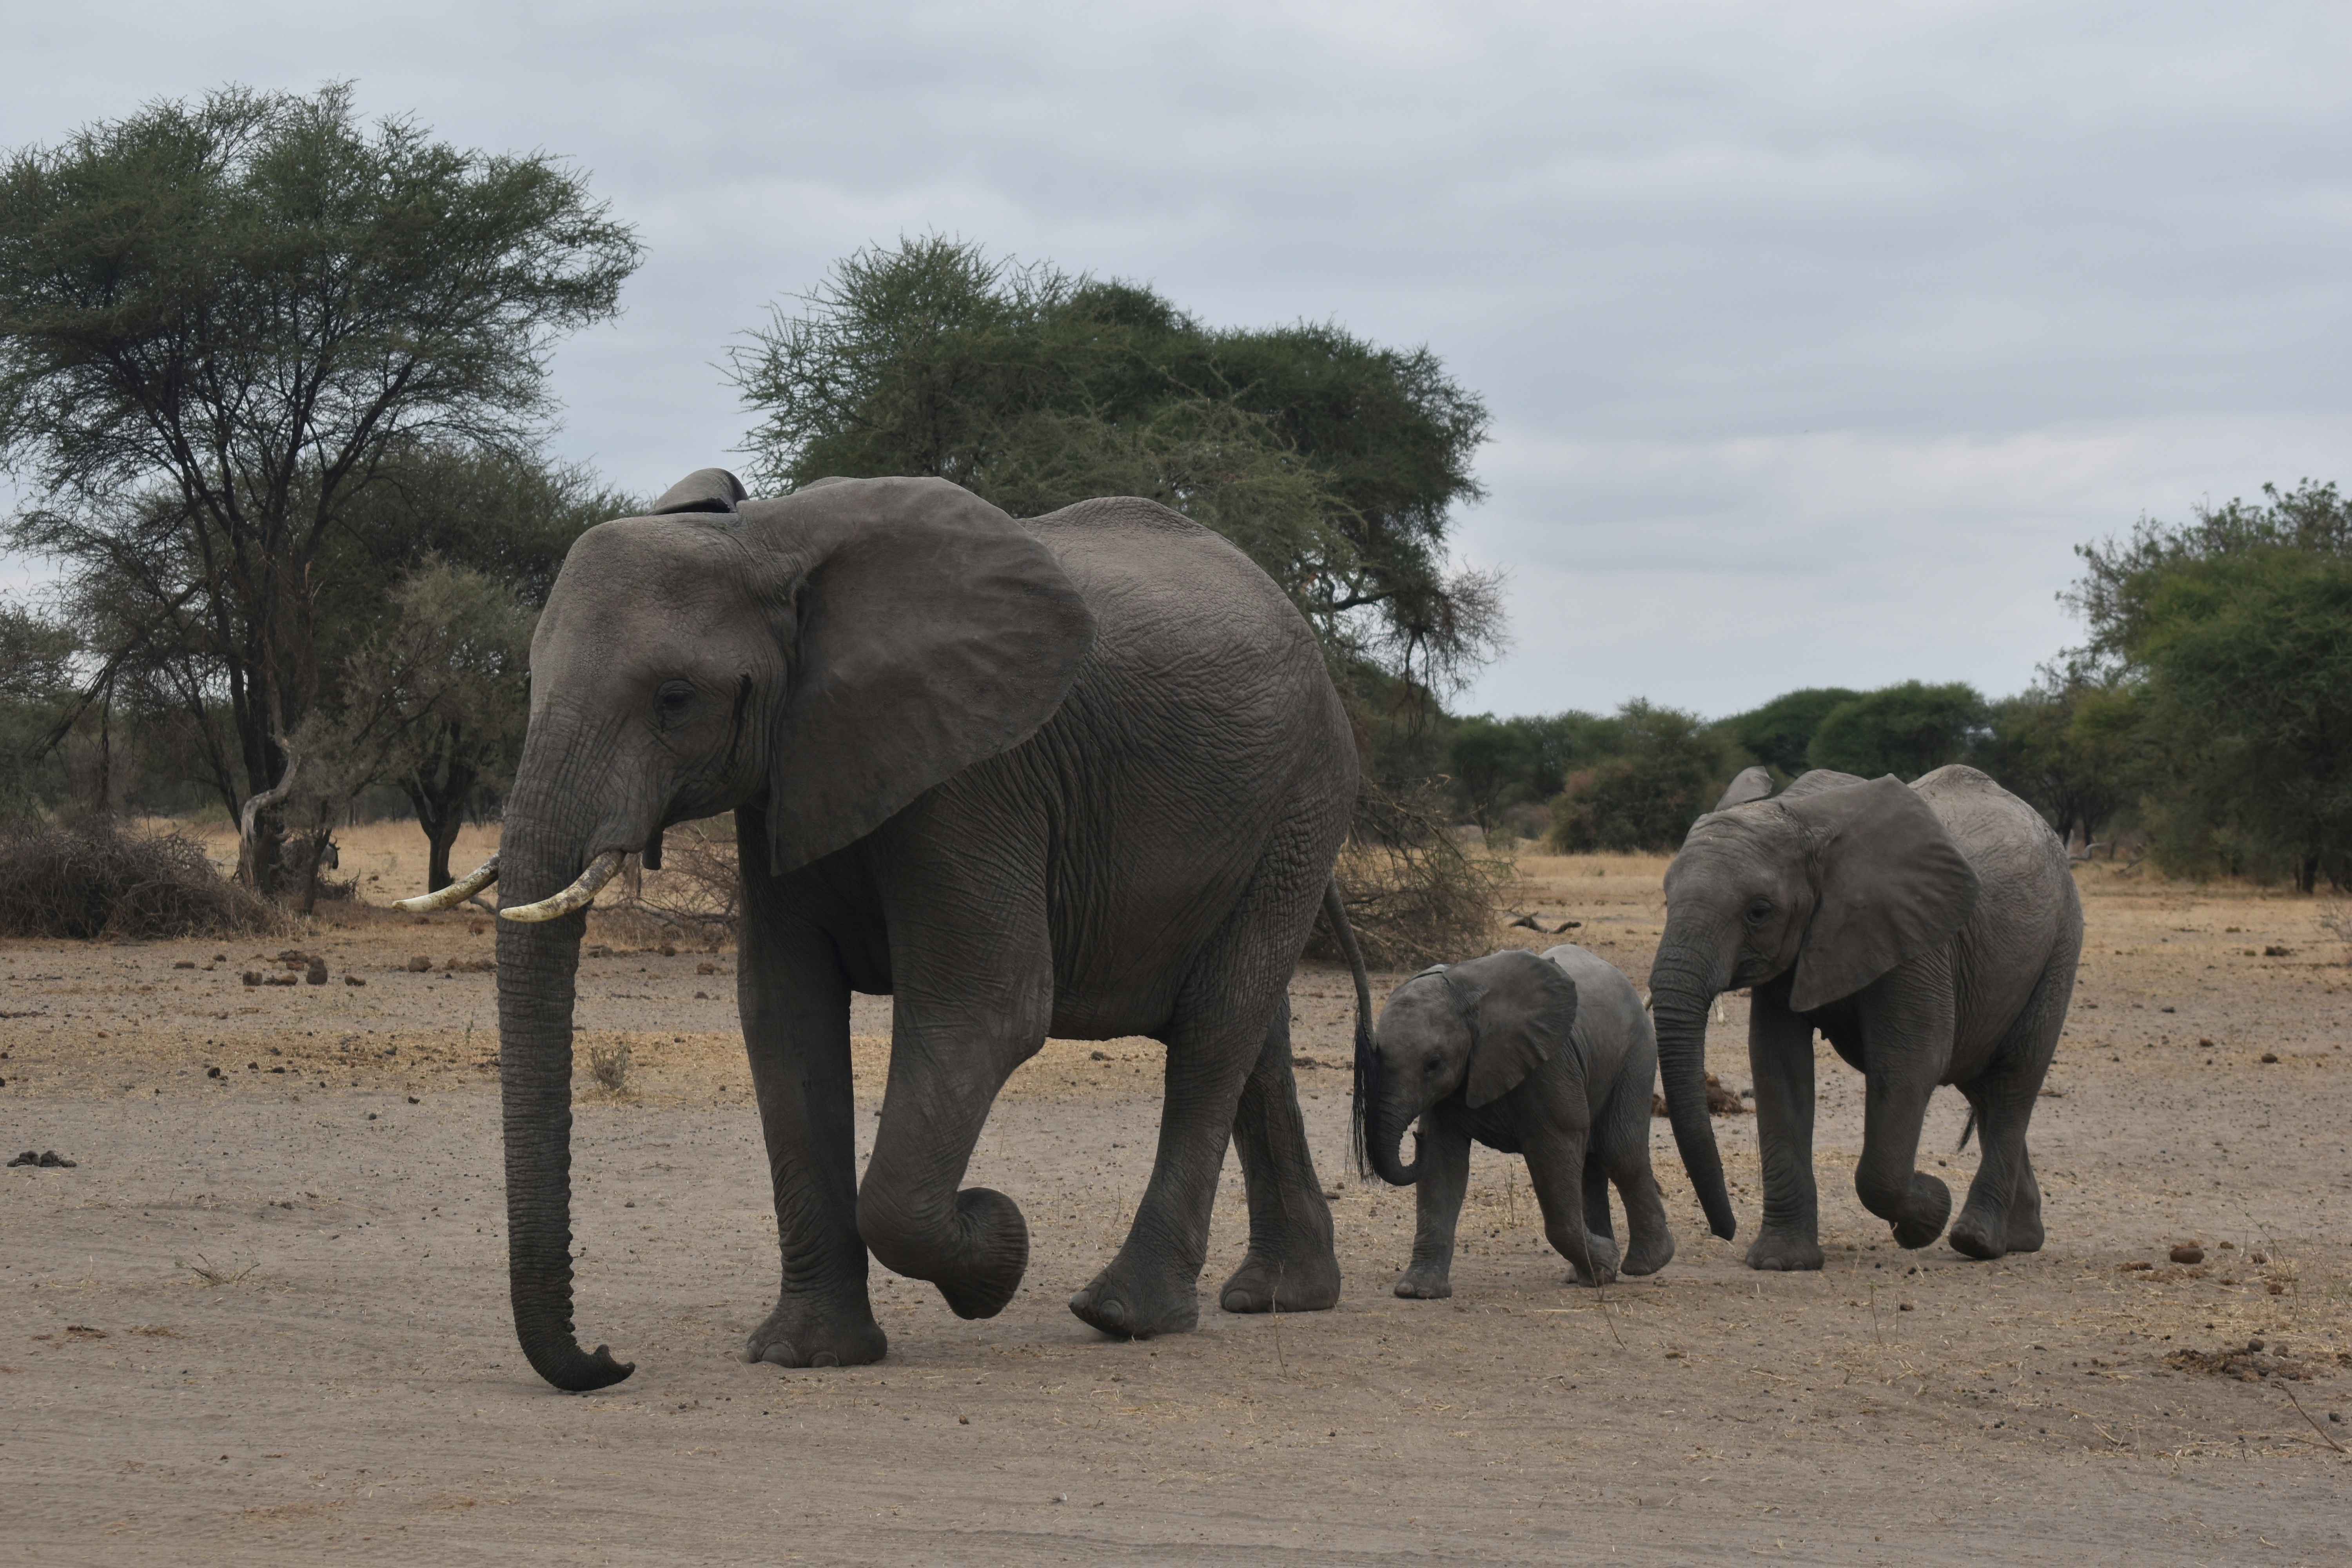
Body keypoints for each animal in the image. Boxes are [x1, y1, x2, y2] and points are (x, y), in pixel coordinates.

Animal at [402, 470, 1371, 1391]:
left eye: (674, 698)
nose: (611, 1359)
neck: (766, 541)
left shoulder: (977, 777)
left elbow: (987, 1012)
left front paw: (997, 1247)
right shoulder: (787, 777)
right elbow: (784, 1017)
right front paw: (806, 1356)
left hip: (1303, 799)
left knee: (1215, 1030)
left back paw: (1122, 1314)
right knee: (1254, 1035)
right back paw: (1282, 1296)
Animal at [1358, 945, 1675, 1297]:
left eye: (1433, 1064)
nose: (1417, 1137)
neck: (1465, 995)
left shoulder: (1549, 1065)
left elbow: (1555, 1151)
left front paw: (1607, 1261)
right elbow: (1443, 1166)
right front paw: (1418, 1291)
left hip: (1637, 1052)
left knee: (1619, 1153)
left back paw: (1645, 1265)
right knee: (1591, 1165)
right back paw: (1588, 1274)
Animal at [1649, 765, 2082, 1270]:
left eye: (1759, 912)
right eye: (1666, 900)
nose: (1726, 1229)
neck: (1801, 818)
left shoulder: (1915, 938)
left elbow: (1911, 1062)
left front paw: (1929, 1211)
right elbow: (1779, 1066)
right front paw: (1782, 1262)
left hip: (2059, 946)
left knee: (2014, 1079)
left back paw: (1977, 1240)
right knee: (1984, 1087)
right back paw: (2021, 1238)